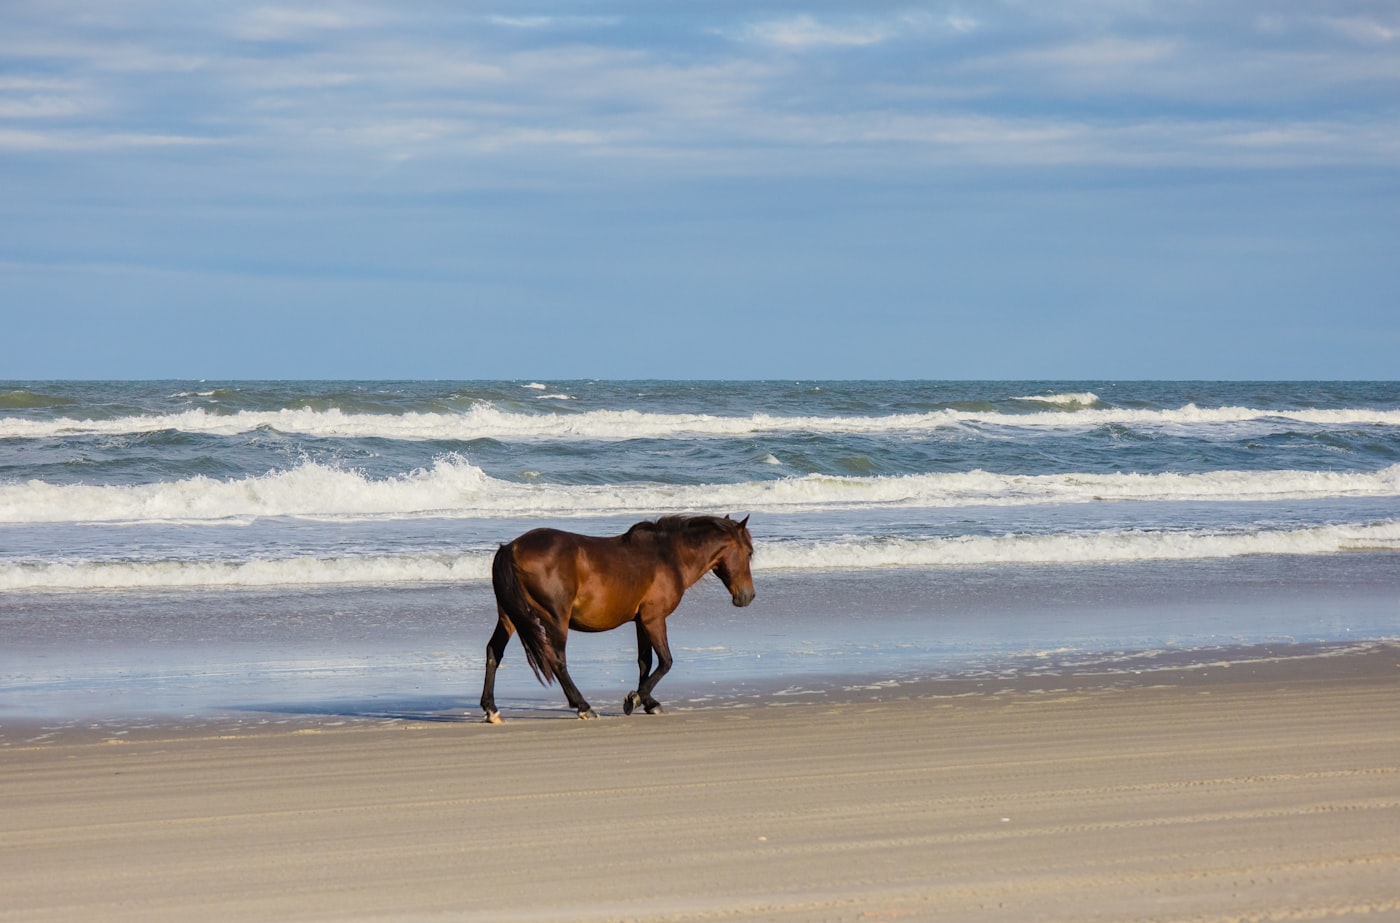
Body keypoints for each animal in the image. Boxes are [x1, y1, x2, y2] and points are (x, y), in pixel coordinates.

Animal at [479, 514, 755, 723]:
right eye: (750, 553)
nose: (748, 596)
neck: (668, 556)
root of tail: (511, 548)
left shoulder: (641, 622)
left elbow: (645, 662)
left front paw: (649, 702)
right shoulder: (654, 619)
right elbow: (665, 661)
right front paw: (635, 699)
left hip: (509, 616)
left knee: (494, 651)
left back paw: (491, 709)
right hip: (554, 617)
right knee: (557, 660)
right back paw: (583, 706)